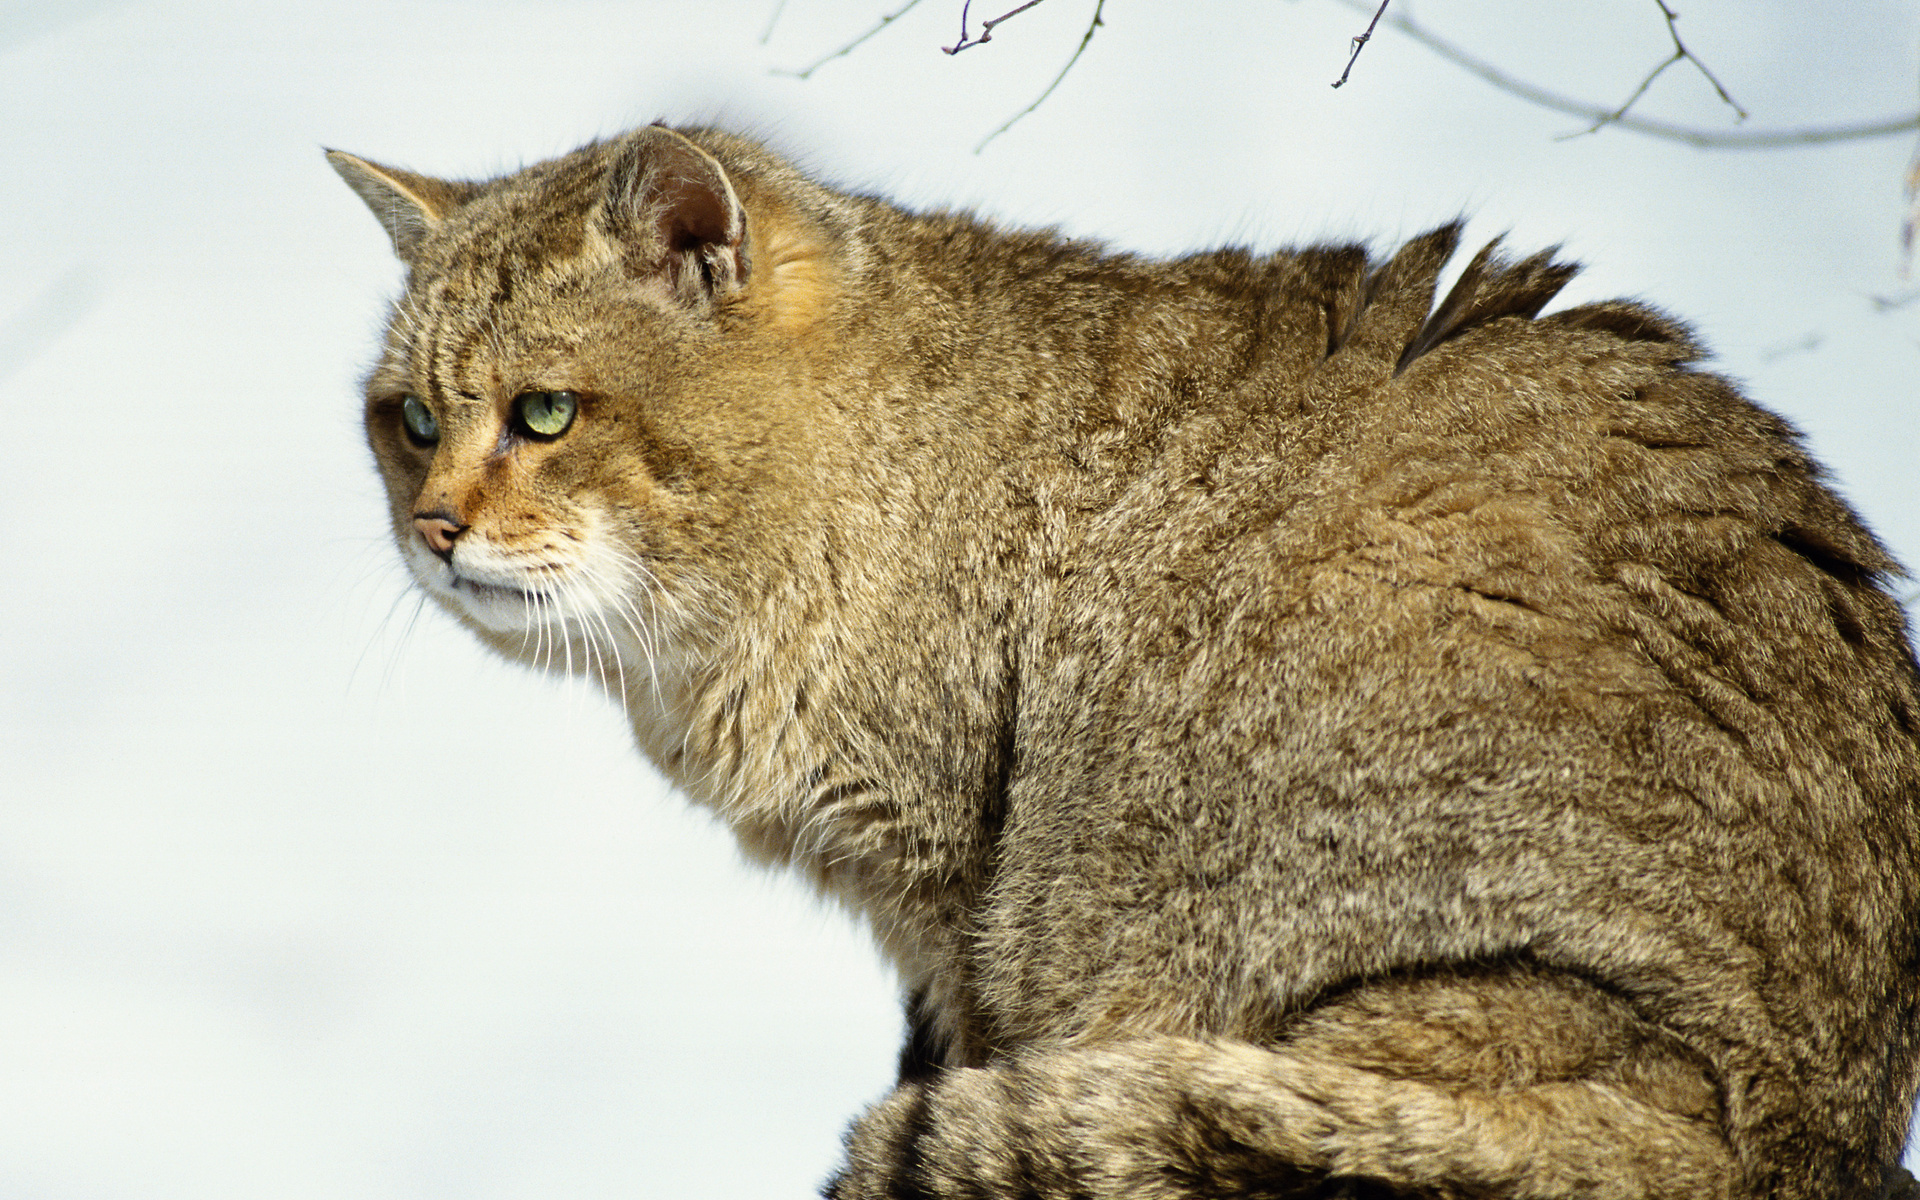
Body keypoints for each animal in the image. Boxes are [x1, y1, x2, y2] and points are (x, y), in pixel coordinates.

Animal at [330, 123, 1920, 1198]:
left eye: (545, 414)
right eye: (410, 420)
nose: (432, 528)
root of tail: (1787, 1139)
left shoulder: (954, 891)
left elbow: (967, 1058)